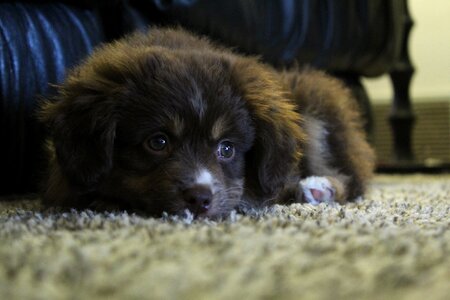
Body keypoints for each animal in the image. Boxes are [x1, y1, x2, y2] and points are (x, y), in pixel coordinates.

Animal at [39, 27, 376, 218]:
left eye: (227, 149)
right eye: (158, 142)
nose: (200, 199)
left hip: (316, 101)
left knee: (348, 176)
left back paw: (317, 188)